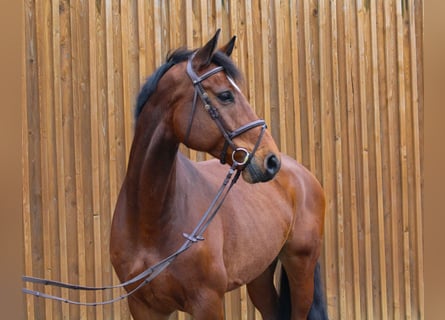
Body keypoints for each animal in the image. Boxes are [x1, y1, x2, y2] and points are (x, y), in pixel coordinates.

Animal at [109, 28, 328, 318]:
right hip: (259, 275)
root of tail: (303, 174)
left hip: (300, 268)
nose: (271, 161)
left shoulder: (208, 302)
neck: (150, 222)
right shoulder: (143, 306)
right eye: (226, 95)